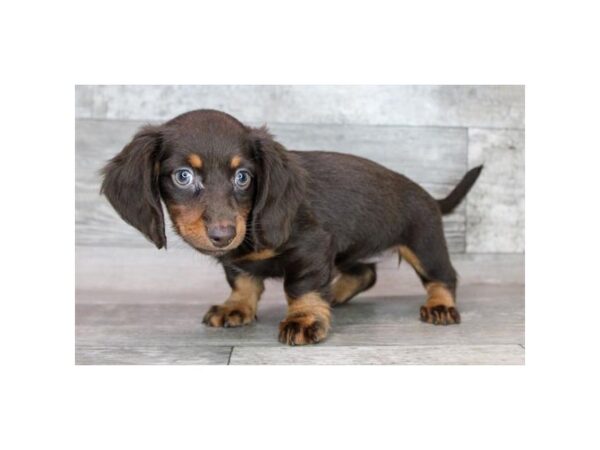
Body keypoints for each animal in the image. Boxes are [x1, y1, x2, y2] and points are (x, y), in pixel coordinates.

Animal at [99, 109, 482, 344]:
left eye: (243, 176)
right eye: (183, 176)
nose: (223, 235)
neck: (250, 229)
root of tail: (428, 196)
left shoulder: (312, 247)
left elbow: (301, 287)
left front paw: (305, 319)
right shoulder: (239, 262)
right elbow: (243, 282)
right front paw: (235, 307)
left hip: (424, 242)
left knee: (443, 276)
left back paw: (440, 305)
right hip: (348, 251)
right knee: (366, 273)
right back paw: (336, 293)